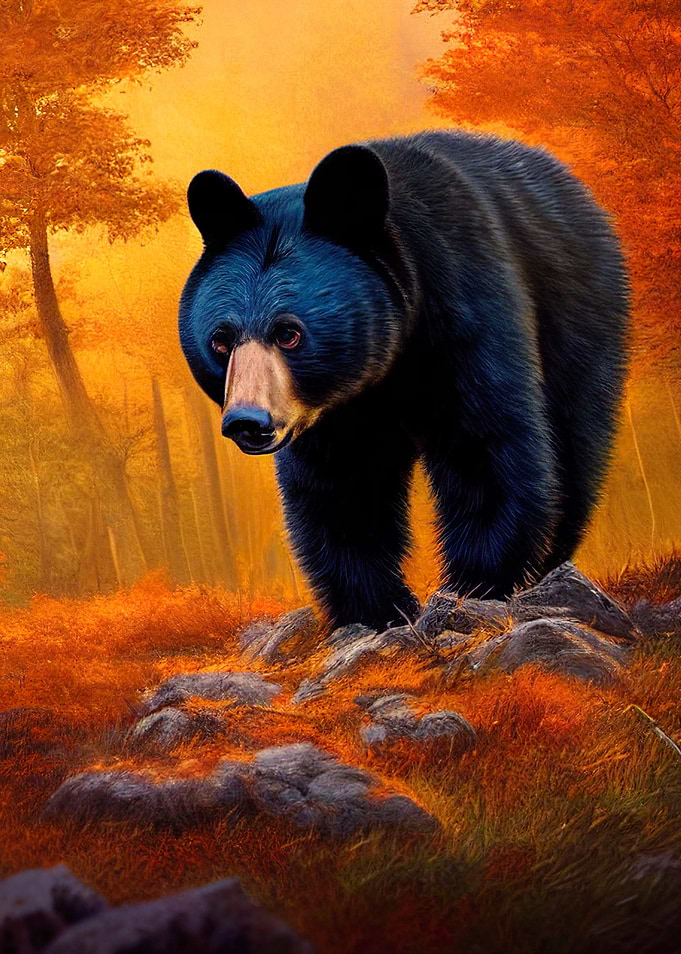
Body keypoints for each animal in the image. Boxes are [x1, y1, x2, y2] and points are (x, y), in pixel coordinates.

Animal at [179, 130, 630, 631]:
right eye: (221, 340)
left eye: (289, 333)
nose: (248, 421)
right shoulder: (333, 414)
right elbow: (343, 490)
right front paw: (376, 610)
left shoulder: (464, 316)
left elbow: (487, 448)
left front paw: (474, 586)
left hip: (579, 310)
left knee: (575, 436)